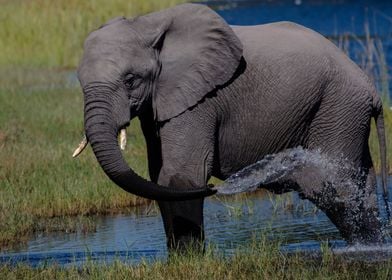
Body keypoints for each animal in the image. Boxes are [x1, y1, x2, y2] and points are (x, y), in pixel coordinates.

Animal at [72, 3, 386, 249]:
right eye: (79, 82)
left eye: (130, 81)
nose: (215, 188)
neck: (146, 22)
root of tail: (372, 90)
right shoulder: (160, 103)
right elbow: (158, 177)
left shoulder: (201, 100)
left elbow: (181, 176)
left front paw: (189, 261)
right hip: (344, 113)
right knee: (361, 183)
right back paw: (374, 245)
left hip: (338, 106)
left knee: (333, 185)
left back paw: (365, 250)